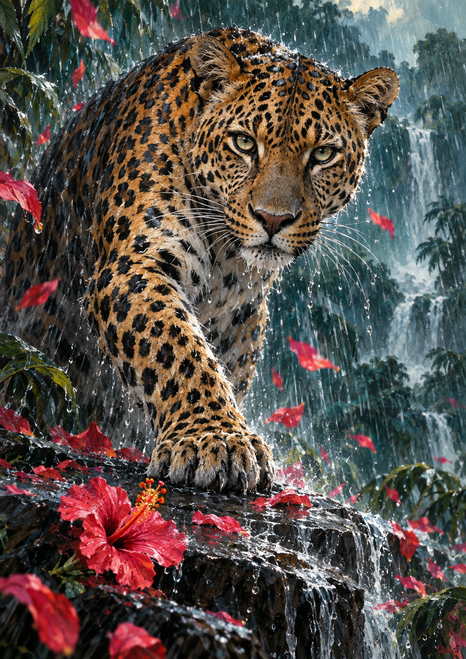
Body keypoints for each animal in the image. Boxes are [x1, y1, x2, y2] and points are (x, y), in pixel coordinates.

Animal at [0, 27, 399, 492]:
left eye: (322, 155)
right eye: (244, 143)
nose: (273, 219)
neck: (227, 260)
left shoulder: (243, 317)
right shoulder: (133, 267)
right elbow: (177, 350)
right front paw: (215, 439)